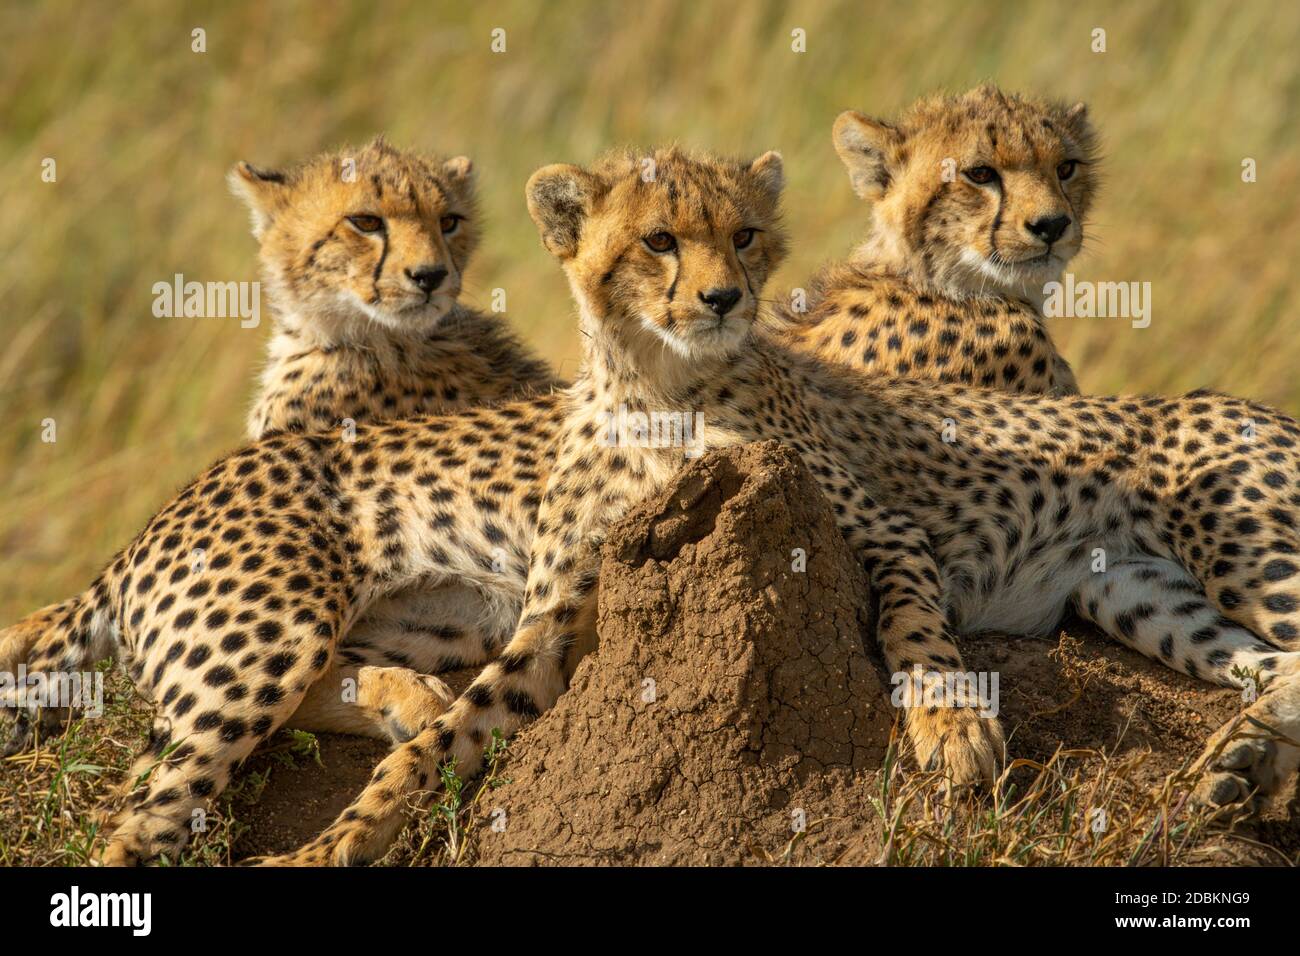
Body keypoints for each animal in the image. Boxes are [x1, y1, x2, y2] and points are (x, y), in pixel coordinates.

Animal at [2, 147, 1300, 868]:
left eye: (745, 236)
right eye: (657, 241)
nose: (723, 297)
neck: (663, 390)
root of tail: (160, 515)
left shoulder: (878, 533)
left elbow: (920, 635)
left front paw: (949, 731)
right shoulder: (556, 613)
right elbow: (442, 747)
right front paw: (342, 840)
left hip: (1217, 550)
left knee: (1284, 660)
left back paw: (1235, 768)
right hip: (268, 640)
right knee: (145, 811)